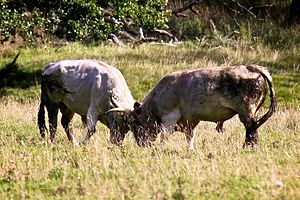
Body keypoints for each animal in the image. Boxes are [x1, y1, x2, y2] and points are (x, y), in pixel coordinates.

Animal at [108, 65, 276, 149]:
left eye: (135, 123)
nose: (141, 144)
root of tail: (251, 67)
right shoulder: (190, 120)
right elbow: (190, 136)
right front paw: (190, 150)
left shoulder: (170, 117)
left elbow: (164, 135)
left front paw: (160, 149)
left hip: (247, 112)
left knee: (251, 130)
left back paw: (248, 147)